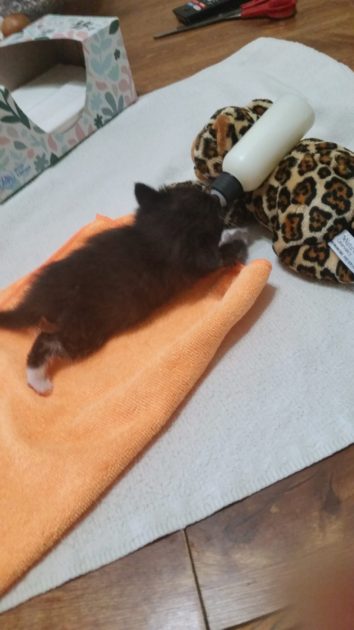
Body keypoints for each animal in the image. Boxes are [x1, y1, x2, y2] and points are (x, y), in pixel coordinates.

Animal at [0, 183, 246, 396]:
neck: (154, 236)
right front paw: (236, 241)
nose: (215, 196)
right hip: (82, 332)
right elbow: (219, 256)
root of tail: (38, 301)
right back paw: (38, 381)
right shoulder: (197, 262)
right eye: (211, 207)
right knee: (45, 341)